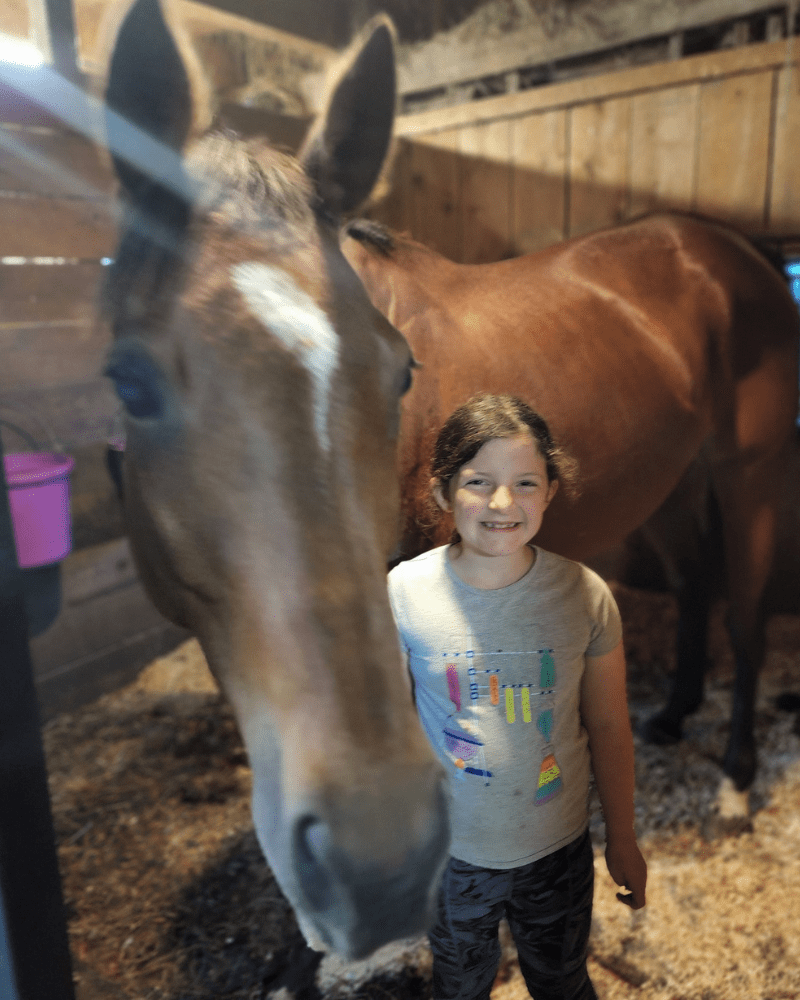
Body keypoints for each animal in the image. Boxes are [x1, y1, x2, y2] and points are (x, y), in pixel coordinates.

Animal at [341, 213, 800, 822]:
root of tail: (739, 248)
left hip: (750, 476)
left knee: (746, 619)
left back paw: (735, 780)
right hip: (671, 483)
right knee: (693, 584)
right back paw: (673, 715)